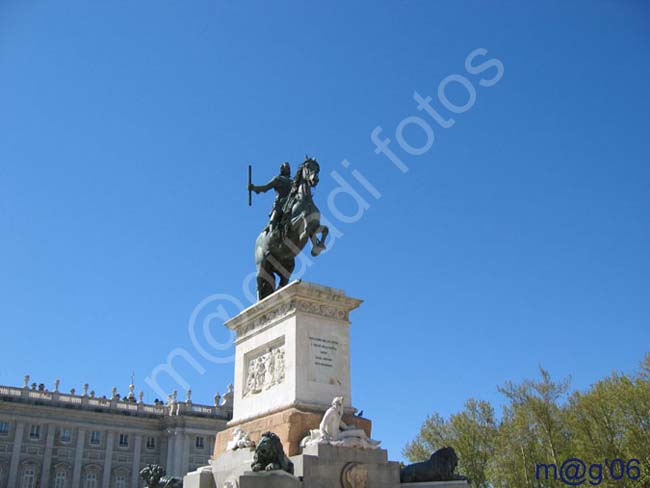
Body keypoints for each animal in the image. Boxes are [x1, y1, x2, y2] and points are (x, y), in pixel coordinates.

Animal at [254, 158, 330, 300]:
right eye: (307, 167)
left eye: (317, 169)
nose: (315, 179)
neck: (305, 200)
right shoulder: (291, 227)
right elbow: (303, 220)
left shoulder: (316, 225)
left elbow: (325, 229)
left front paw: (318, 247)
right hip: (262, 266)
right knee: (259, 287)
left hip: (286, 268)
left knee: (279, 284)